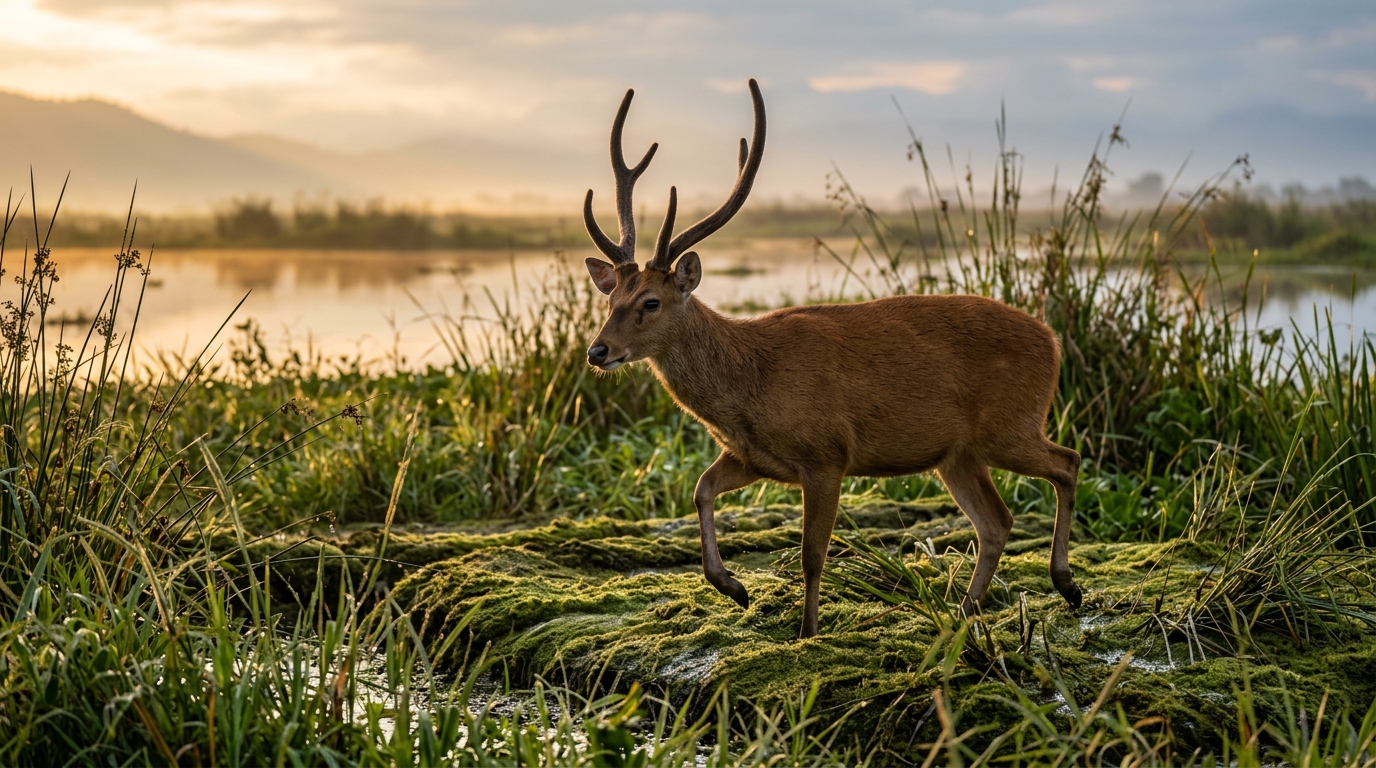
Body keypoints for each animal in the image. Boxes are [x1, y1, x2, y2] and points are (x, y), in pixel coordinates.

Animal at [581, 79, 1083, 639]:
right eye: (610, 296)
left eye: (650, 302)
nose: (598, 350)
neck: (750, 384)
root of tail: (1052, 340)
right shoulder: (753, 457)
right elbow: (701, 489)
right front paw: (734, 588)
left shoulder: (826, 453)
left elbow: (810, 554)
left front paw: (806, 632)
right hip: (958, 453)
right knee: (996, 521)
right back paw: (964, 613)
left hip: (1009, 424)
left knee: (1066, 462)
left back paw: (1066, 584)